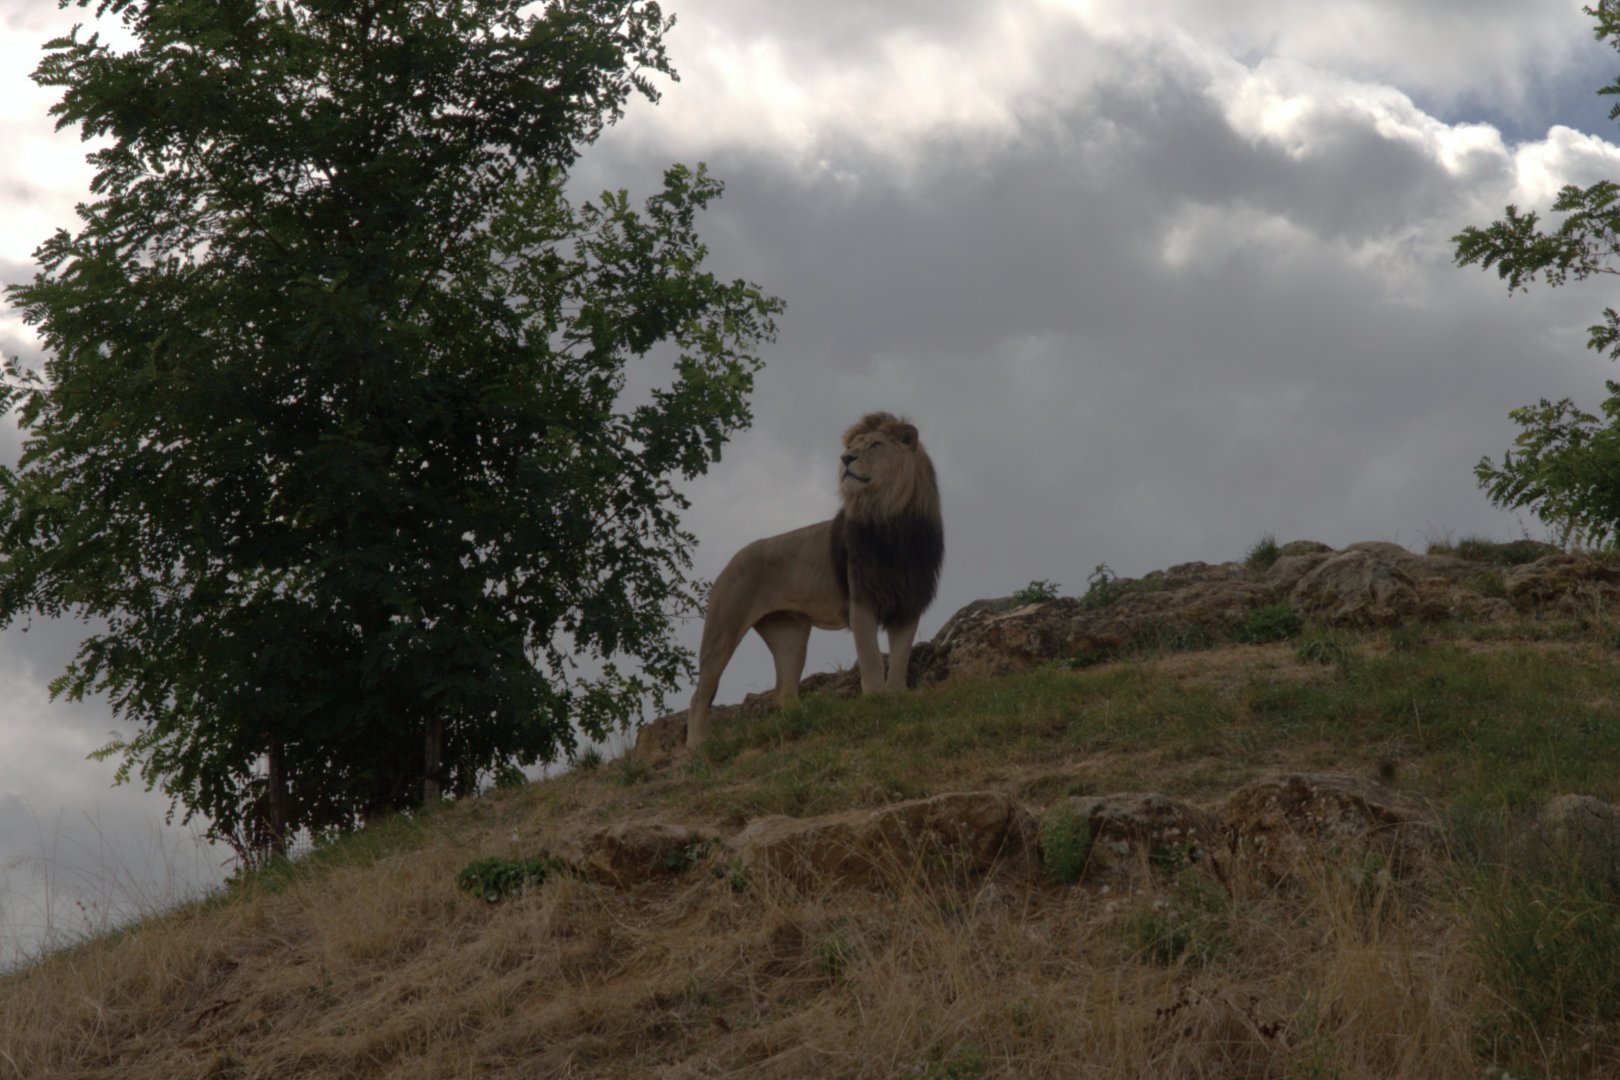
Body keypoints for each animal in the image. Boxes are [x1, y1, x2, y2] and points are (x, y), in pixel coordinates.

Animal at [685, 412, 944, 749]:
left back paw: (803, 720)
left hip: (790, 636)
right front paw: (876, 699)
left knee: (784, 692)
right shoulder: (861, 601)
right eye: (852, 447)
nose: (845, 459)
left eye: (874, 445)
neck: (892, 518)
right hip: (722, 630)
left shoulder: (908, 604)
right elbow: (871, 657)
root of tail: (730, 562)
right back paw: (696, 746)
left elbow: (900, 656)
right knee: (700, 695)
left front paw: (898, 696)